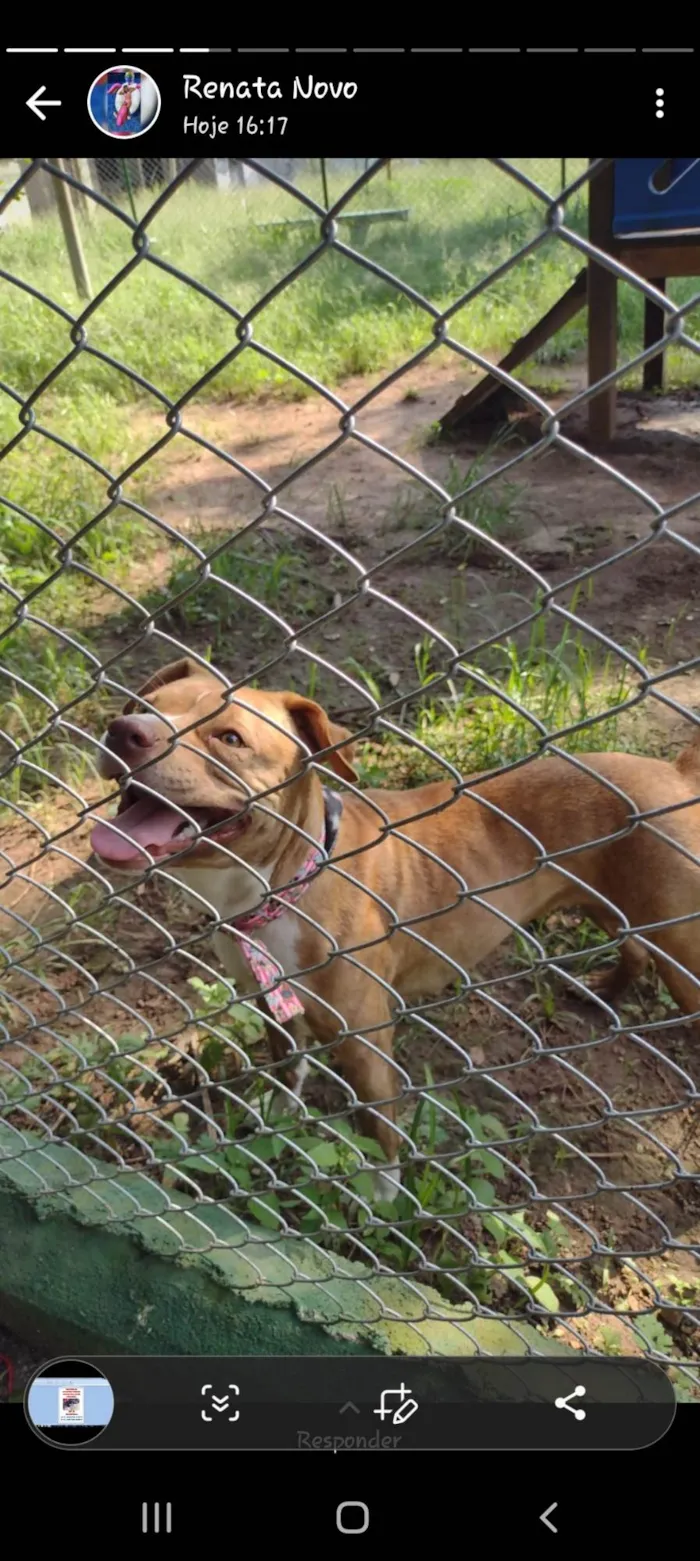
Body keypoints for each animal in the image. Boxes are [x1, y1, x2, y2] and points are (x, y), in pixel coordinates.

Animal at [92, 655, 700, 1180]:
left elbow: (376, 1124)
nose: (123, 729)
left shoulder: (366, 1039)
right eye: (141, 703)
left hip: (680, 944)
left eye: (230, 738)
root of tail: (677, 772)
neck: (285, 882)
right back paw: (605, 988)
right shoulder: (271, 1003)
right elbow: (287, 1070)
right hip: (616, 903)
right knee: (634, 945)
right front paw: (277, 1120)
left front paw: (381, 1194)